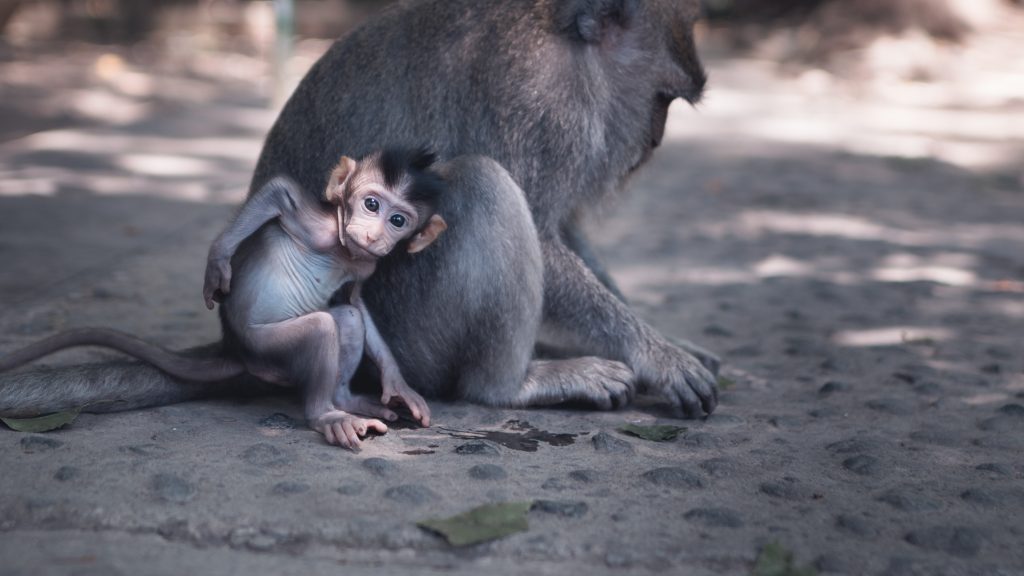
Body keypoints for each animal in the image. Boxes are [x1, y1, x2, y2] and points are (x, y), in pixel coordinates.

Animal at [1, 148, 446, 449]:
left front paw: (397, 383)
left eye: (398, 220)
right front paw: (218, 259)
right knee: (321, 328)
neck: (345, 250)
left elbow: (356, 303)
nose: (374, 234)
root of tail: (238, 351)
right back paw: (326, 415)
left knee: (346, 321)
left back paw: (347, 401)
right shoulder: (318, 226)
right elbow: (278, 192)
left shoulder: (367, 264)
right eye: (371, 203)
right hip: (266, 347)